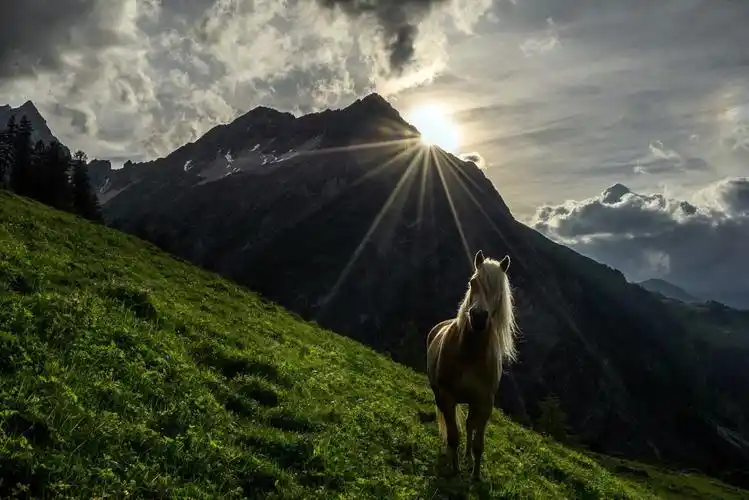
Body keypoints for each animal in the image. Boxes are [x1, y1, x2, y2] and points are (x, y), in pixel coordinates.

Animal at [426, 249, 518, 480]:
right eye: (473, 282)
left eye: (499, 290)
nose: (478, 317)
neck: (470, 353)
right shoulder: (447, 397)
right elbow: (453, 435)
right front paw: (455, 467)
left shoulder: (484, 403)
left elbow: (478, 443)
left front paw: (475, 476)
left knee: (469, 426)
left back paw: (467, 457)